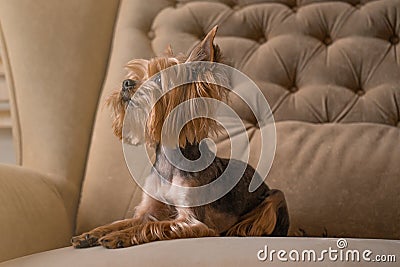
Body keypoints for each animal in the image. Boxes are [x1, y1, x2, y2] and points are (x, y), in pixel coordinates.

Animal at [72, 26, 290, 250]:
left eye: (159, 79)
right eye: (136, 75)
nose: (126, 83)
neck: (168, 160)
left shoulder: (192, 221)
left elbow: (152, 226)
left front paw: (119, 236)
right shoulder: (149, 208)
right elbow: (125, 221)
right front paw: (92, 233)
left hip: (275, 197)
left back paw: (241, 228)